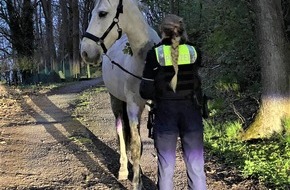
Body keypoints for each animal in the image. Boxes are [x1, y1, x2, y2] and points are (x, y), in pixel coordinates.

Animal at [80, 0, 160, 189]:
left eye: (102, 13)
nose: (85, 52)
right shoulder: (132, 106)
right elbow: (136, 146)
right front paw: (137, 183)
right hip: (115, 101)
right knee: (121, 131)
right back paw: (124, 169)